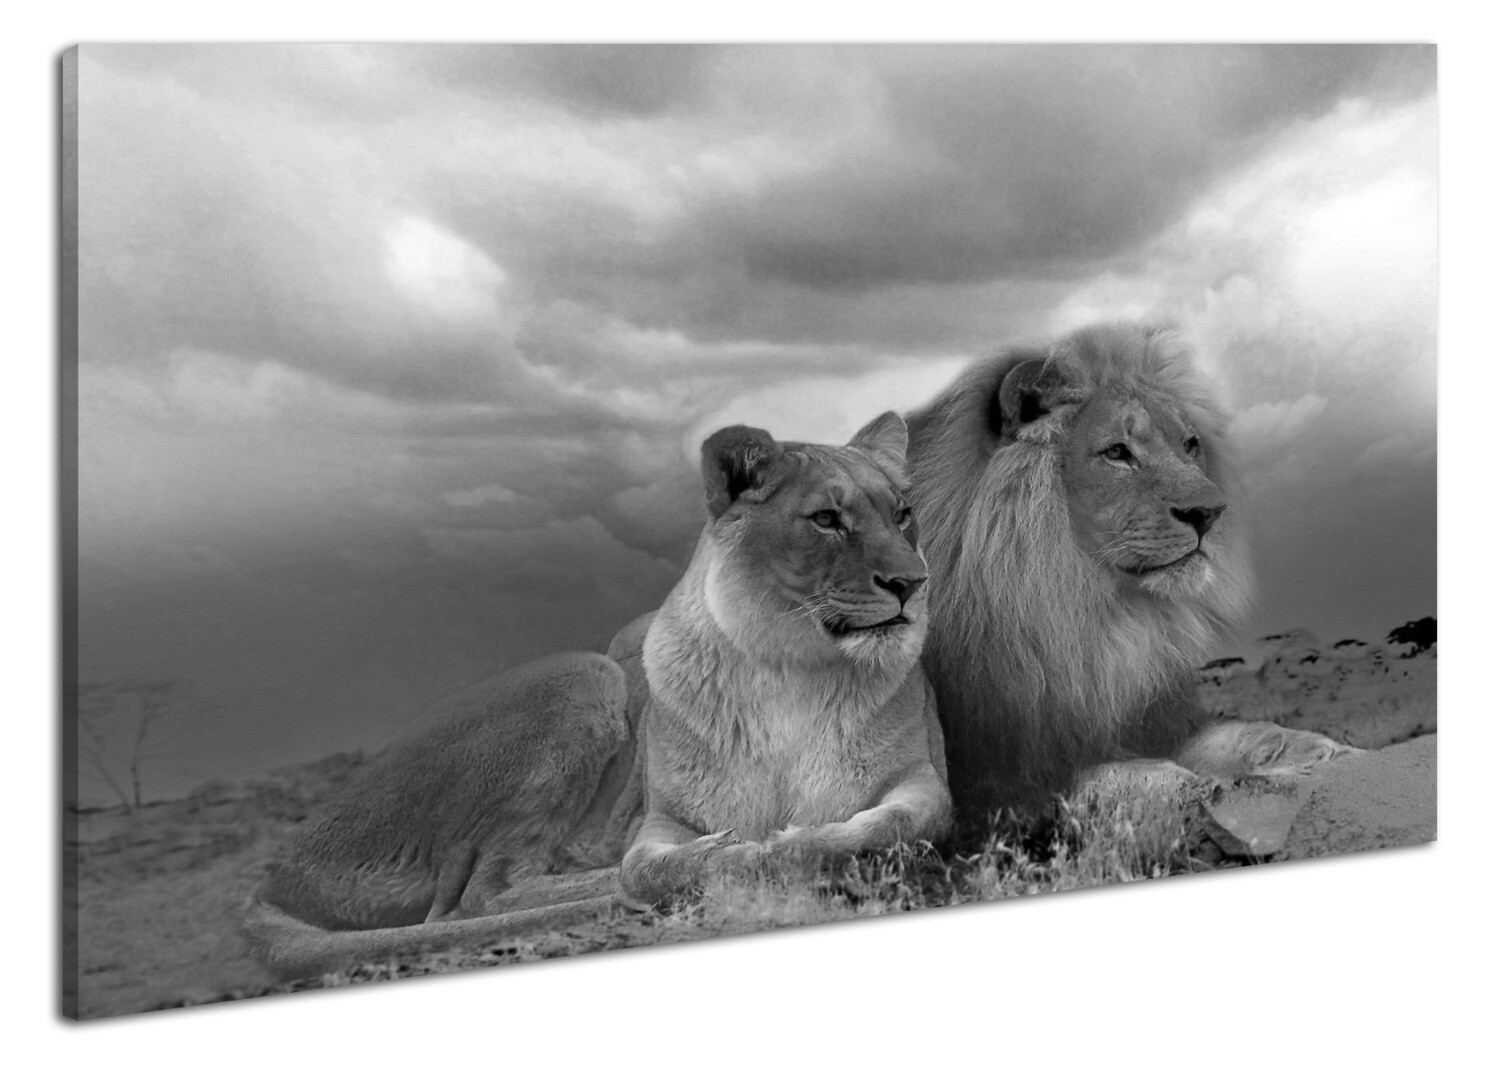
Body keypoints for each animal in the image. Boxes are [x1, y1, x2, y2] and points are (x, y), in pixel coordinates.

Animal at [245, 412, 950, 978]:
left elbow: (899, 822)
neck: (792, 667)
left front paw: (790, 844)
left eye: (902, 514)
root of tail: (276, 877)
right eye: (826, 519)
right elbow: (650, 864)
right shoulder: (660, 818)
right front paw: (726, 856)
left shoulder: (923, 777)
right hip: (587, 673)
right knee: (482, 894)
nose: (913, 583)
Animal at [904, 322, 1353, 819]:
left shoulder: (1152, 721)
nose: (1211, 513)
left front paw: (1323, 752)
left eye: (1190, 445)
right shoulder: (995, 783)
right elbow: (1111, 775)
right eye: (1117, 452)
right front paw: (1193, 788)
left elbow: (1243, 733)